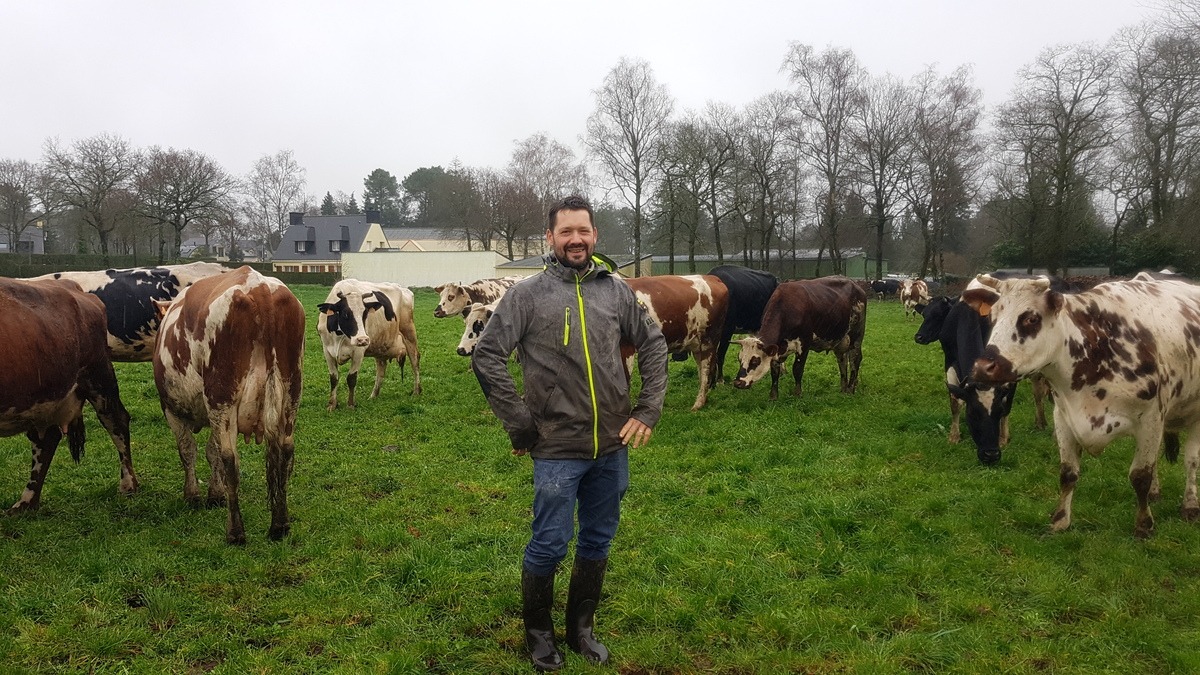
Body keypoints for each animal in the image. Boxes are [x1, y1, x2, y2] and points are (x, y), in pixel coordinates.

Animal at [0, 277, 139, 509]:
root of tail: (71, 285)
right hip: (43, 396)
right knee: (46, 438)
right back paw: (26, 503)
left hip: (97, 374)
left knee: (116, 420)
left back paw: (128, 485)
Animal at [152, 265, 302, 542]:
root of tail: (259, 288)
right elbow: (211, 451)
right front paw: (215, 494)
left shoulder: (171, 409)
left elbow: (188, 451)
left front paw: (193, 495)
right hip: (290, 394)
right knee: (285, 452)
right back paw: (280, 525)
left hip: (221, 399)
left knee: (230, 458)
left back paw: (235, 532)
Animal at [619, 273, 729, 410]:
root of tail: (711, 277)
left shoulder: (625, 347)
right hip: (697, 344)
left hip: (709, 340)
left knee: (706, 371)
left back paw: (698, 404)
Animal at [729, 275, 864, 398]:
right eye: (739, 359)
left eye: (755, 361)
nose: (738, 383)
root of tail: (855, 284)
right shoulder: (776, 350)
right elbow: (774, 371)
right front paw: (773, 396)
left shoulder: (804, 344)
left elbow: (797, 369)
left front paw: (797, 394)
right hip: (840, 340)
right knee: (842, 361)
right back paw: (843, 389)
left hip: (856, 336)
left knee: (855, 359)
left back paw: (850, 389)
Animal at [969, 270, 1200, 538]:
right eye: (993, 317)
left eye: (1031, 318)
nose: (983, 367)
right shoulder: (1063, 417)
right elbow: (1068, 473)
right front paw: (1060, 520)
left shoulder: (1151, 419)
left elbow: (1140, 475)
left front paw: (1144, 525)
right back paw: (1156, 492)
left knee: (1191, 461)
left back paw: (1190, 504)